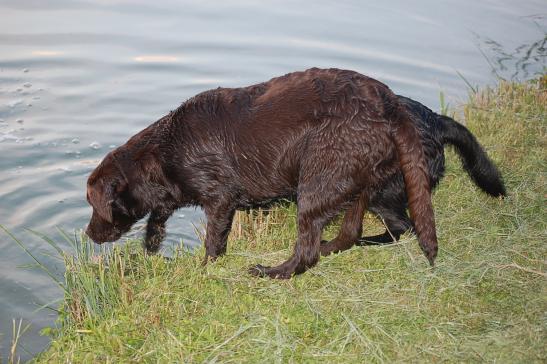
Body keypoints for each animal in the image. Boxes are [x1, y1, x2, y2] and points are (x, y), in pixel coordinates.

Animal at [88, 67, 444, 278]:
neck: (166, 150)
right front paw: (151, 246)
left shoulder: (220, 197)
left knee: (307, 252)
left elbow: (214, 241)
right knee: (349, 233)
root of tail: (391, 105)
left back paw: (272, 271)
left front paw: (204, 269)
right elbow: (157, 215)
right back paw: (330, 246)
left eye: (94, 206)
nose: (89, 234)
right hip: (359, 180)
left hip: (317, 180)